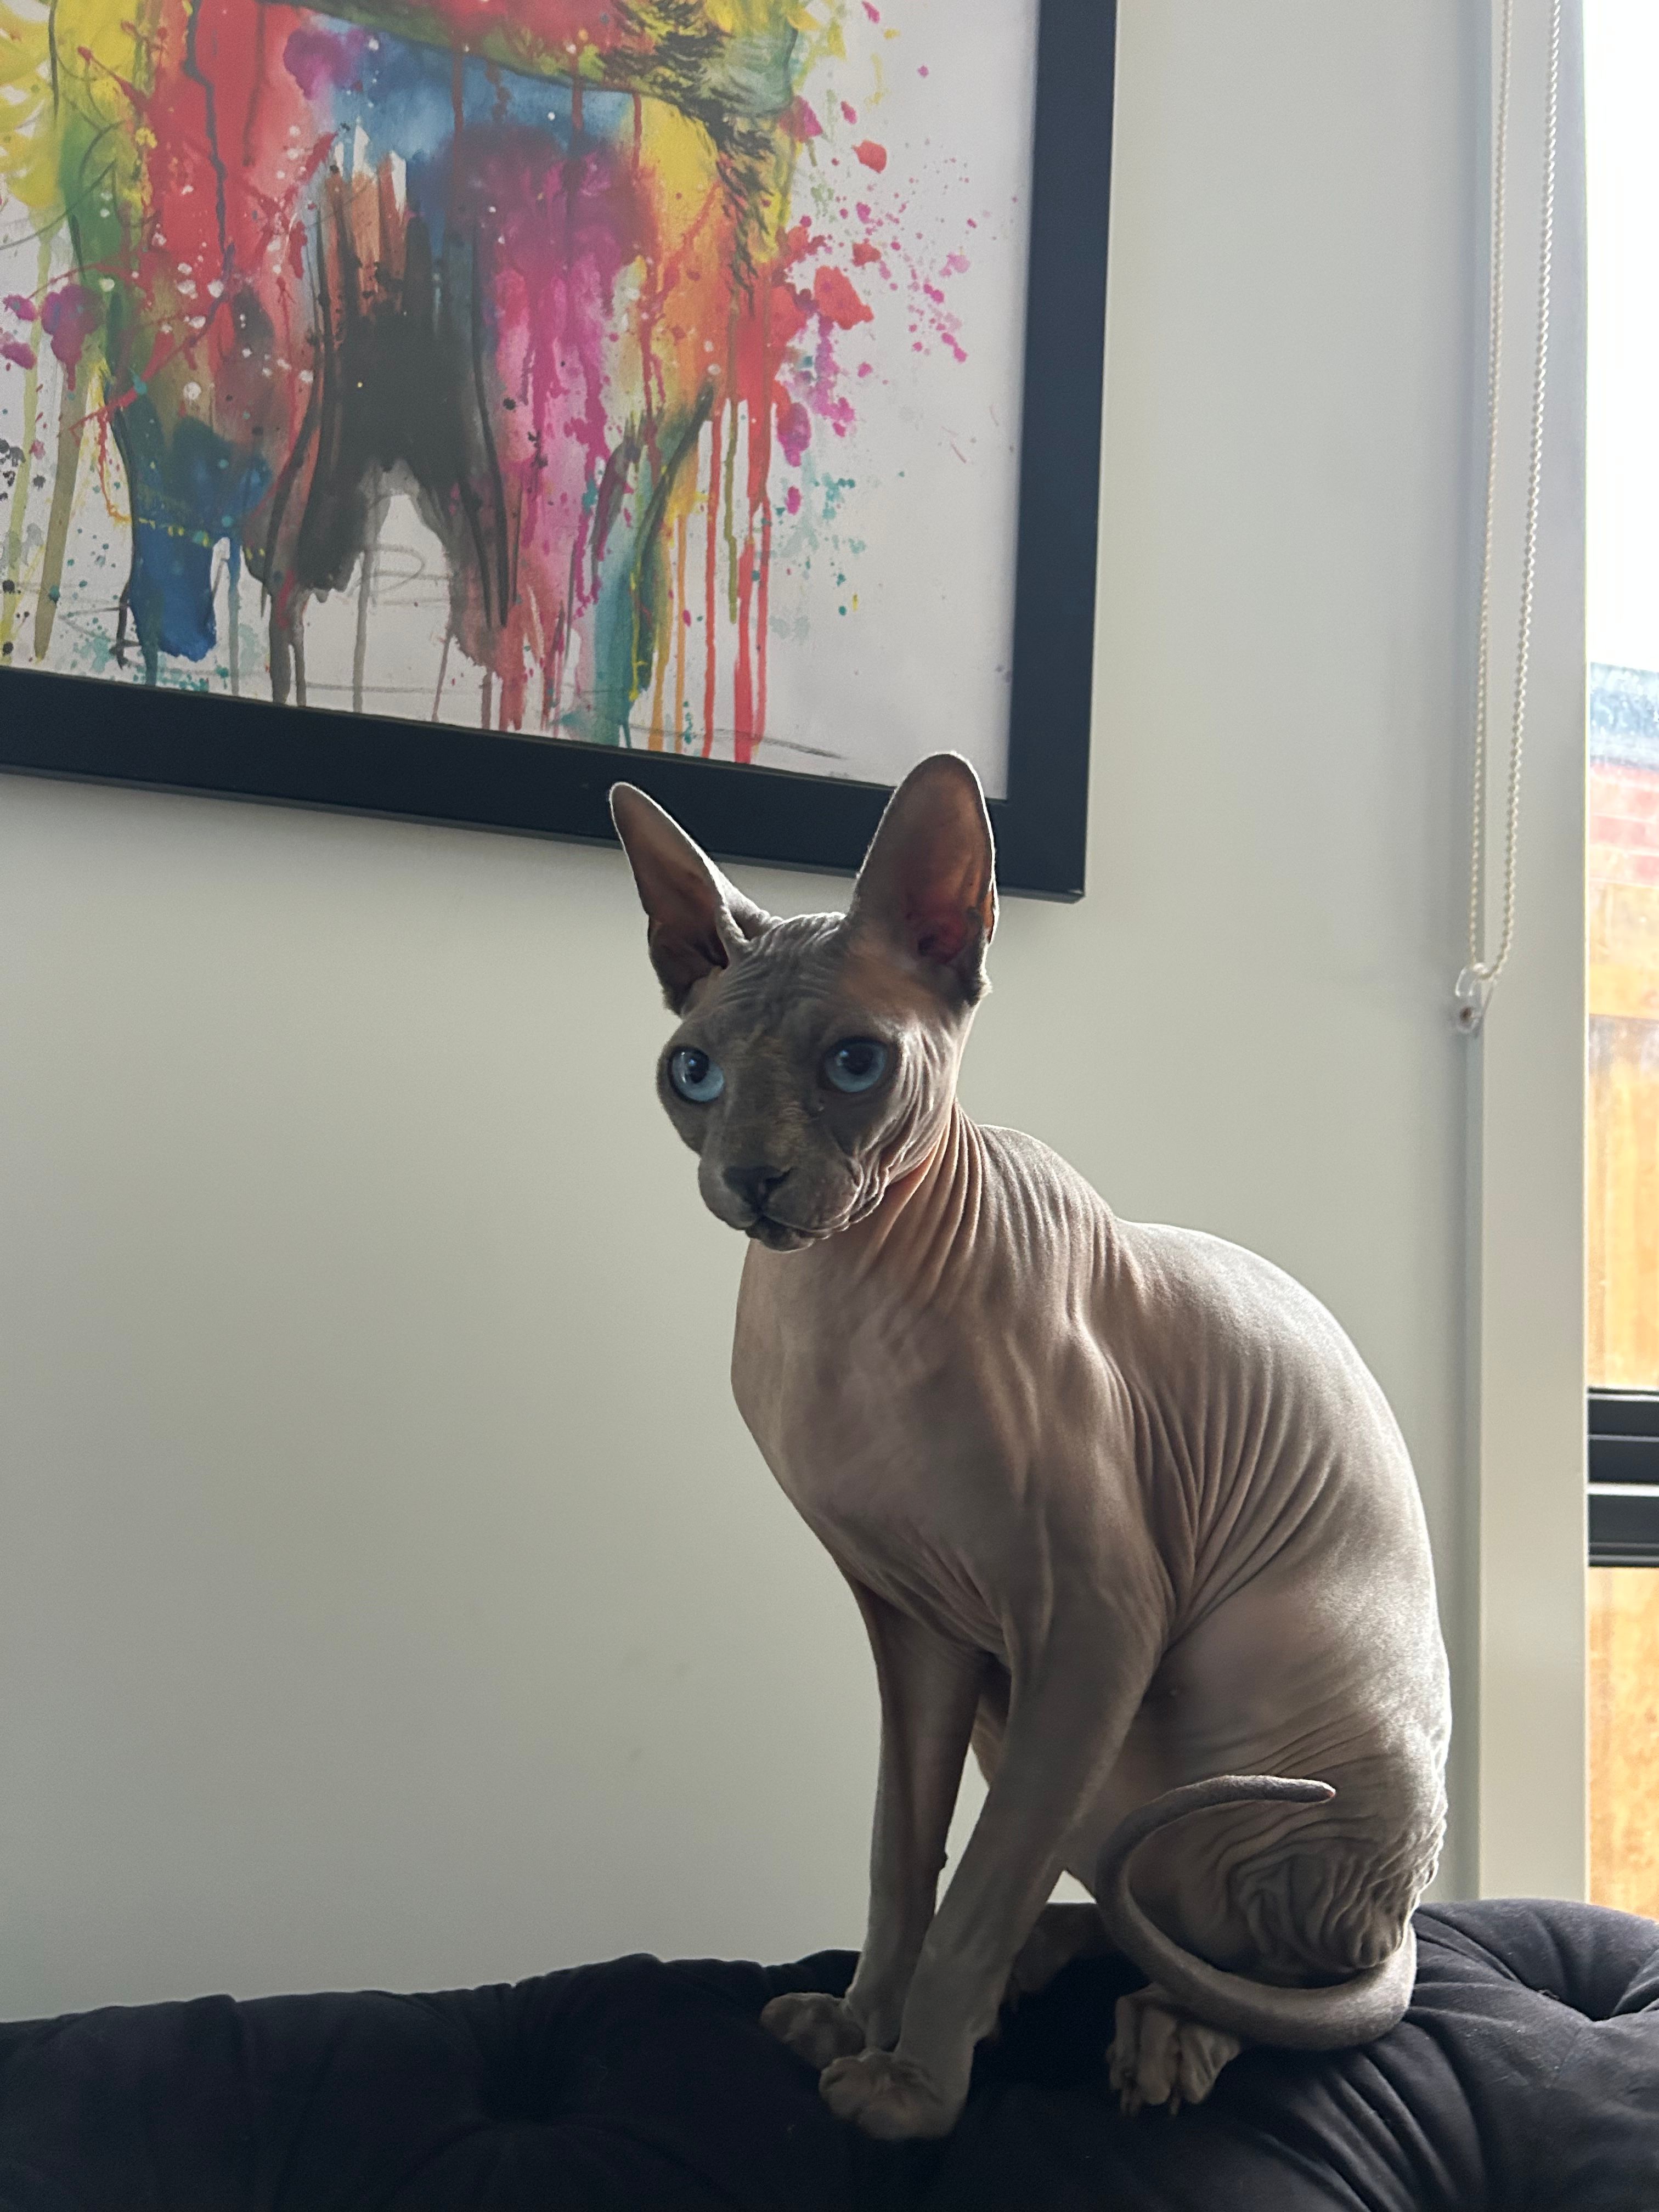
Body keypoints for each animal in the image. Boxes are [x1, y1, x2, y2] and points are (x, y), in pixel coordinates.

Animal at [610, 752, 1451, 2141]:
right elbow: (905, 1857)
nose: (754, 1179)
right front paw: (861, 2018)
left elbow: (980, 1883)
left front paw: (907, 2086)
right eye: (695, 1076)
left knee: (1280, 1970)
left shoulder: (1094, 1624)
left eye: (856, 1065)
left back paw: (1170, 2033)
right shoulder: (915, 1621)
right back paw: (1049, 1969)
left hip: (1257, 1709)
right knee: (1129, 1901)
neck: (846, 1315)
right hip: (1042, 1729)